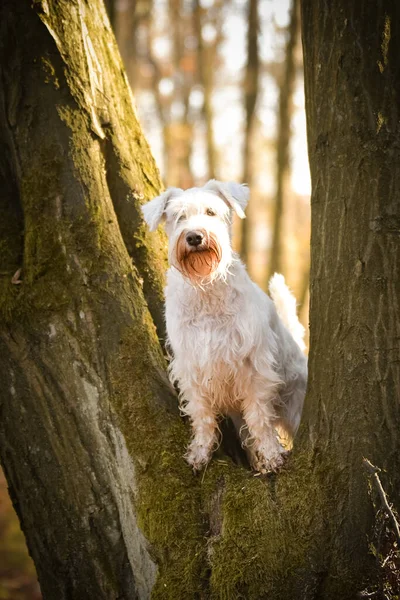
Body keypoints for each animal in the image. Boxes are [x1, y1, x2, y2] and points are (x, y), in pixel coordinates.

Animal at [142, 179, 308, 474]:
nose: (194, 237)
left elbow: (260, 416)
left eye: (210, 212)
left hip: (295, 406)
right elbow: (201, 414)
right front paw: (199, 452)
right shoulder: (191, 367)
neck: (206, 289)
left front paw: (272, 454)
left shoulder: (254, 366)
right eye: (179, 217)